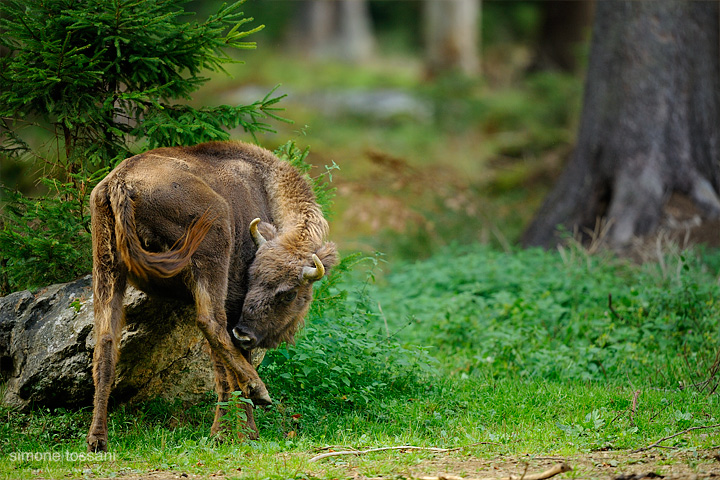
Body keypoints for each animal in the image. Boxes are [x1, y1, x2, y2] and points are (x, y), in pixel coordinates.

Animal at [86, 141, 338, 452]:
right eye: (251, 276)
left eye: (288, 293)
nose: (244, 333)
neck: (266, 187)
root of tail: (120, 182)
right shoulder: (232, 302)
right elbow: (228, 360)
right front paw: (244, 432)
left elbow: (219, 365)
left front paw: (225, 431)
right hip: (213, 243)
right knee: (210, 322)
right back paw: (259, 391)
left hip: (107, 267)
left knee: (106, 342)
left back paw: (97, 439)